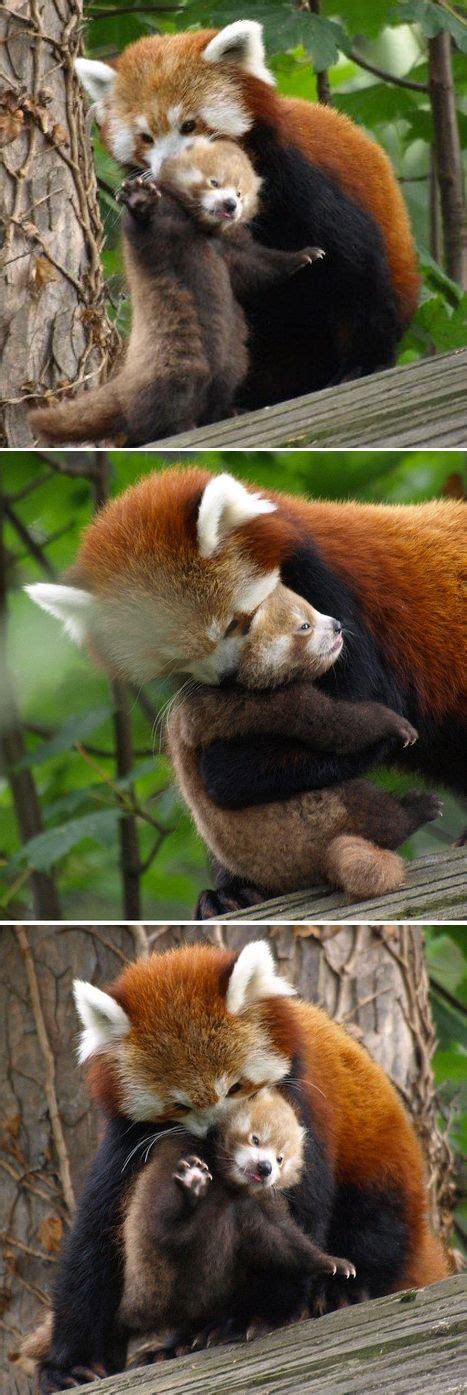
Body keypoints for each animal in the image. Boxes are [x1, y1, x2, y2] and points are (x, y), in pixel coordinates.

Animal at [29, 133, 322, 443]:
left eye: (240, 193)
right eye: (214, 182)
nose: (231, 204)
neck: (201, 227)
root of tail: (126, 380)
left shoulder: (233, 250)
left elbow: (258, 268)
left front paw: (303, 257)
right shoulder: (159, 235)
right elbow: (147, 232)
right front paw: (140, 201)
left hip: (233, 360)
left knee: (222, 383)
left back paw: (225, 412)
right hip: (174, 356)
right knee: (165, 399)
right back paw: (176, 426)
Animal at [31, 943, 448, 1389]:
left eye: (234, 1087)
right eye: (179, 1105)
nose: (218, 1133)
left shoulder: (303, 1110)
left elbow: (291, 1217)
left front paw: (255, 1315)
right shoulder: (128, 1141)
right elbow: (97, 1238)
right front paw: (72, 1364)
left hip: (382, 1168)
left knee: (377, 1224)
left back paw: (342, 1292)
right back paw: (177, 1342)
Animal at [165, 580, 443, 915]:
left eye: (313, 607)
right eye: (304, 626)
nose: (337, 625)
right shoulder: (264, 702)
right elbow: (333, 723)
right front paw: (389, 724)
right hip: (322, 814)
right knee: (377, 813)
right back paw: (417, 808)